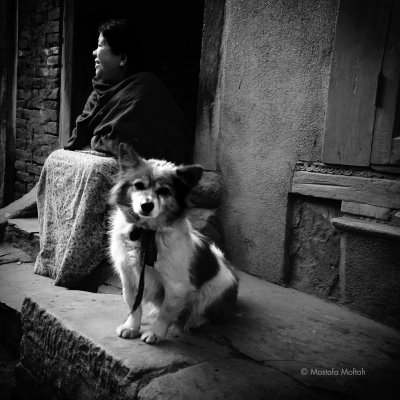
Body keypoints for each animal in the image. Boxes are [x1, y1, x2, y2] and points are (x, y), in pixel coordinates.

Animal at [108, 144, 238, 344]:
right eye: (138, 185)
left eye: (164, 191)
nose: (146, 205)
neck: (147, 233)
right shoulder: (129, 277)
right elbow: (134, 306)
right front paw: (131, 327)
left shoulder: (176, 286)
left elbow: (166, 312)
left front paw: (155, 333)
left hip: (213, 291)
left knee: (203, 311)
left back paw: (195, 321)